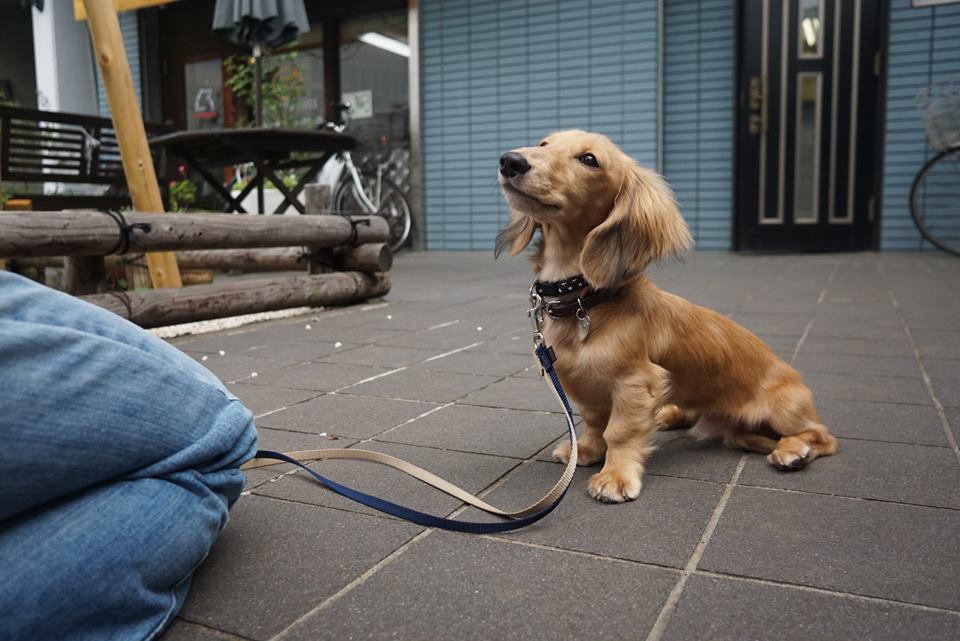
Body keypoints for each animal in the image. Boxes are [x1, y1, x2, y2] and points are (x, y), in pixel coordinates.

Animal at [498, 129, 836, 500]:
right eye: (544, 144)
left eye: (589, 159)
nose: (510, 161)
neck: (586, 302)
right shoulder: (584, 382)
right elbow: (595, 422)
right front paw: (585, 450)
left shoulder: (635, 382)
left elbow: (619, 431)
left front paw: (615, 475)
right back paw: (671, 414)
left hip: (783, 408)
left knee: (822, 436)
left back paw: (793, 451)